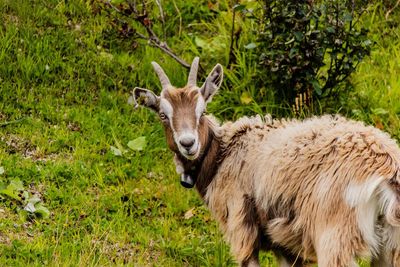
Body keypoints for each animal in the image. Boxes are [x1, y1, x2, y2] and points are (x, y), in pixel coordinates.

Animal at [133, 57, 400, 266]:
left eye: (202, 111)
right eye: (163, 115)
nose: (188, 143)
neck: (223, 154)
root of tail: (387, 170)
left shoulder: (243, 230)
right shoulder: (285, 246)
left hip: (335, 239)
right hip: (390, 246)